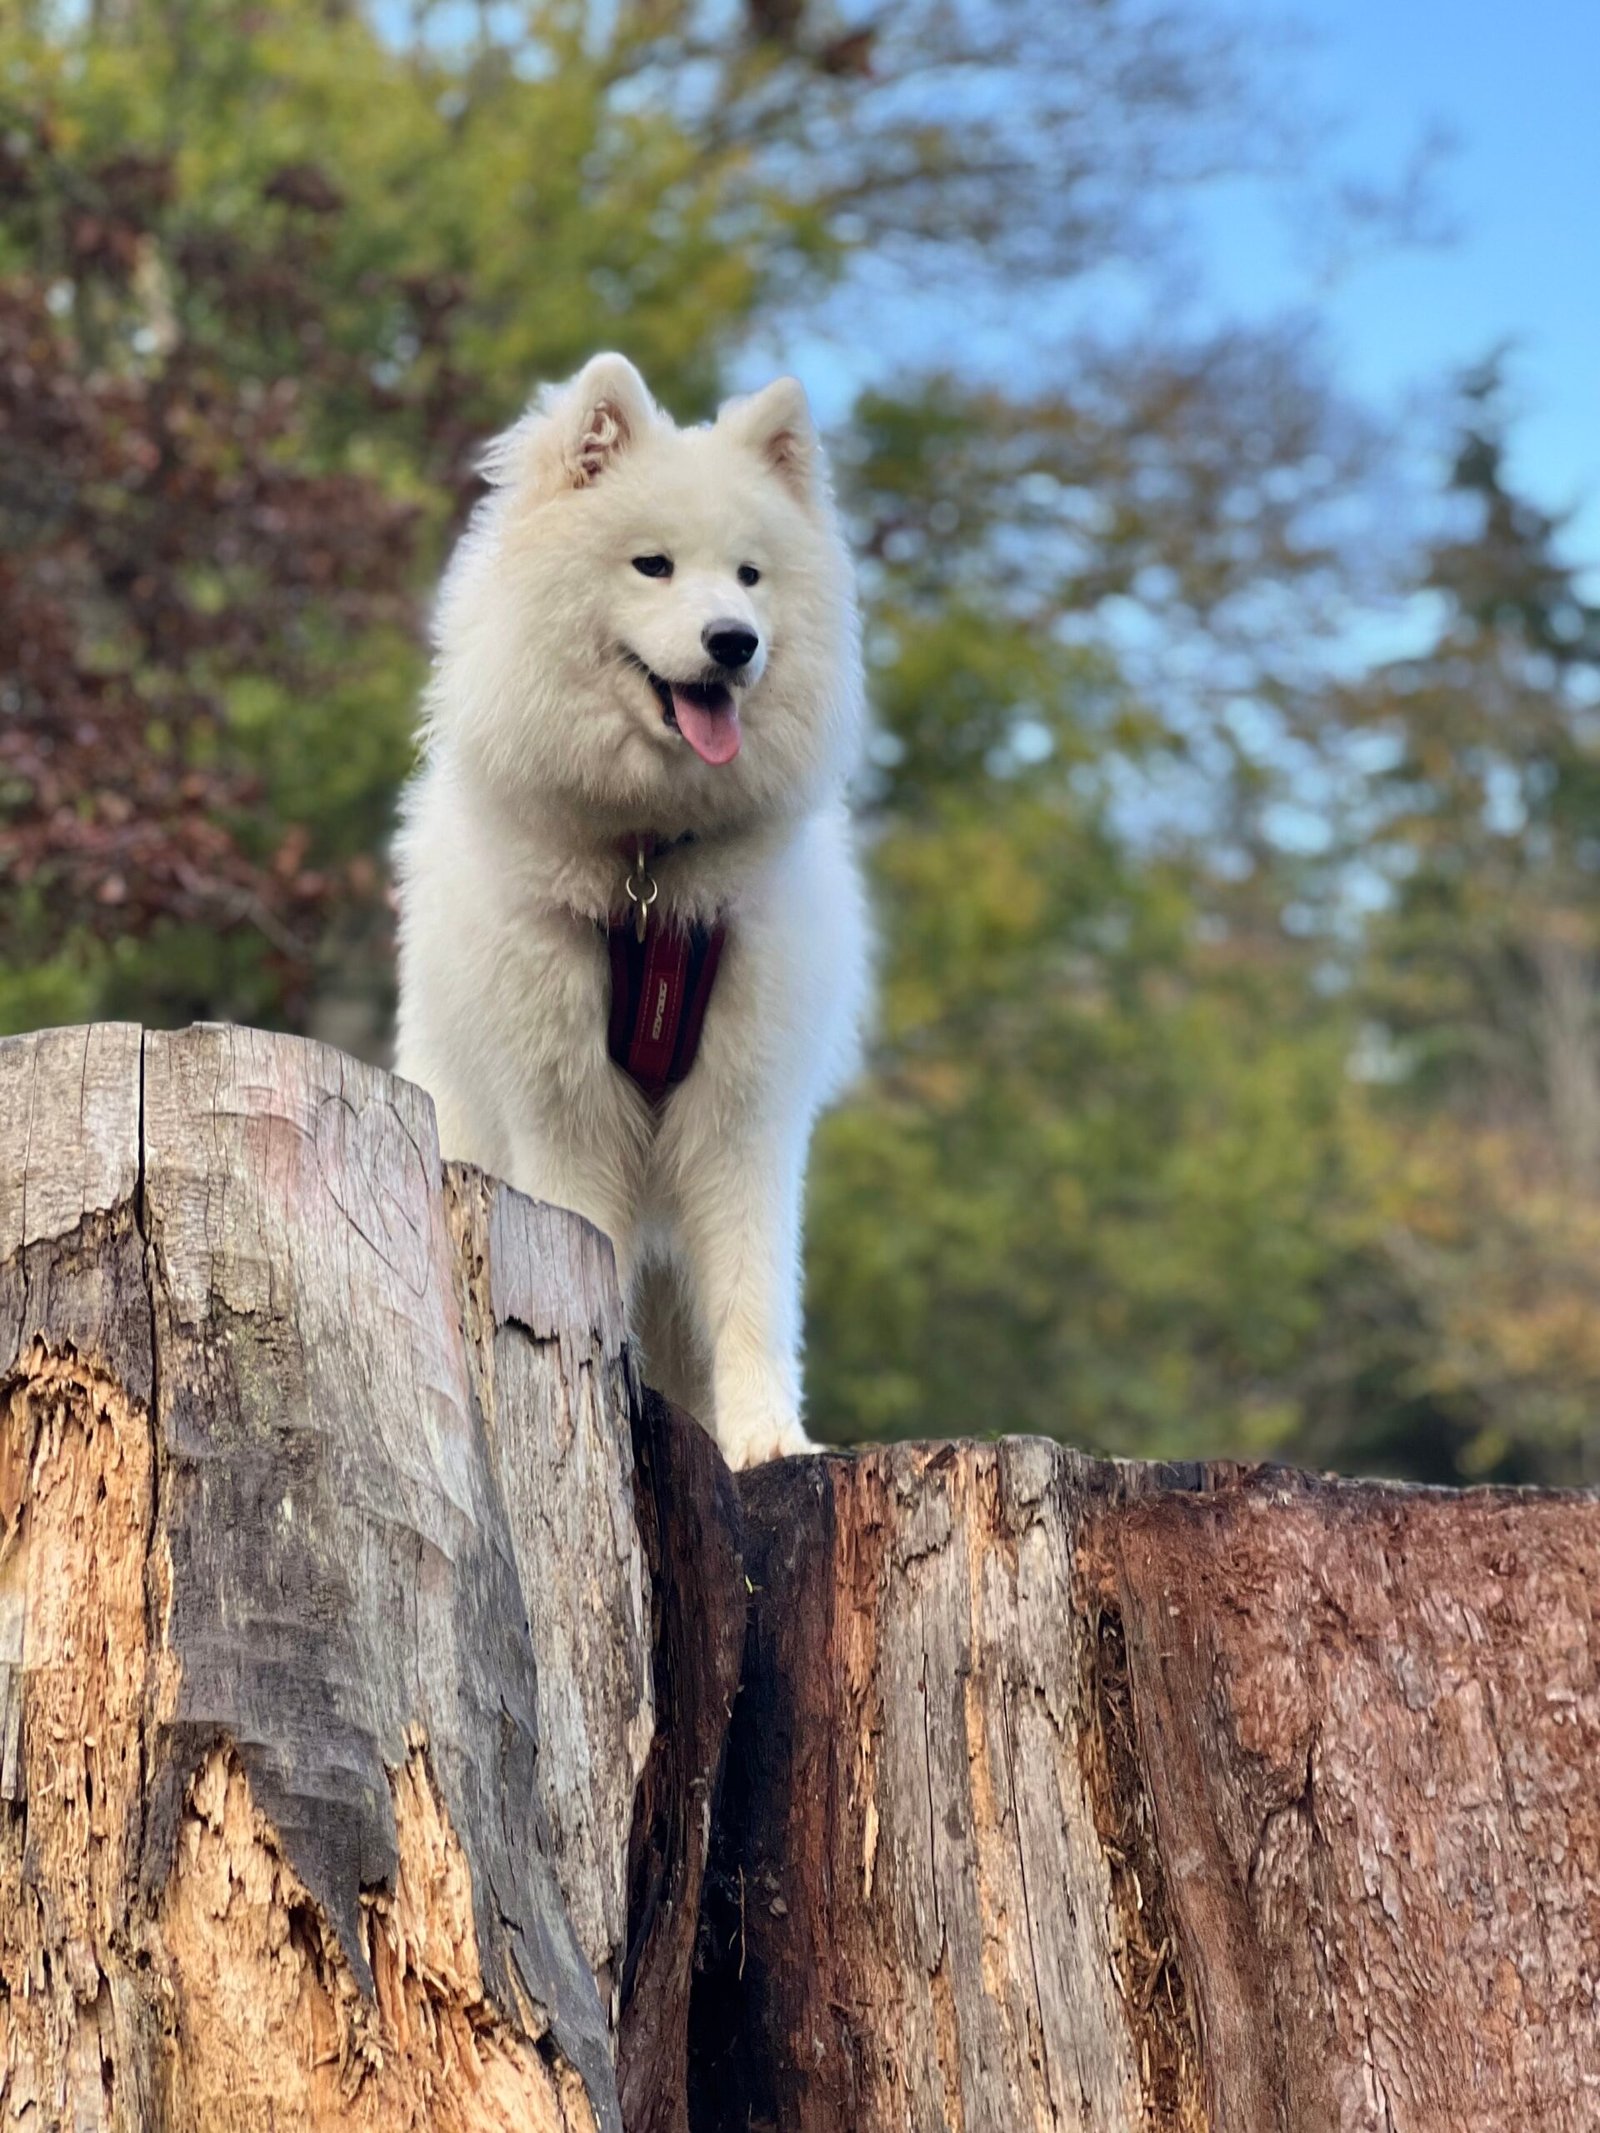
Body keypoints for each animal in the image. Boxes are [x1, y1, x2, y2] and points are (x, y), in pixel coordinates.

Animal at [398, 358, 870, 1476]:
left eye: (749, 575)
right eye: (651, 566)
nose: (733, 642)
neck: (650, 870)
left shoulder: (744, 1112)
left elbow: (751, 1292)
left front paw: (767, 1439)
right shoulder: (564, 1110)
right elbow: (588, 1263)